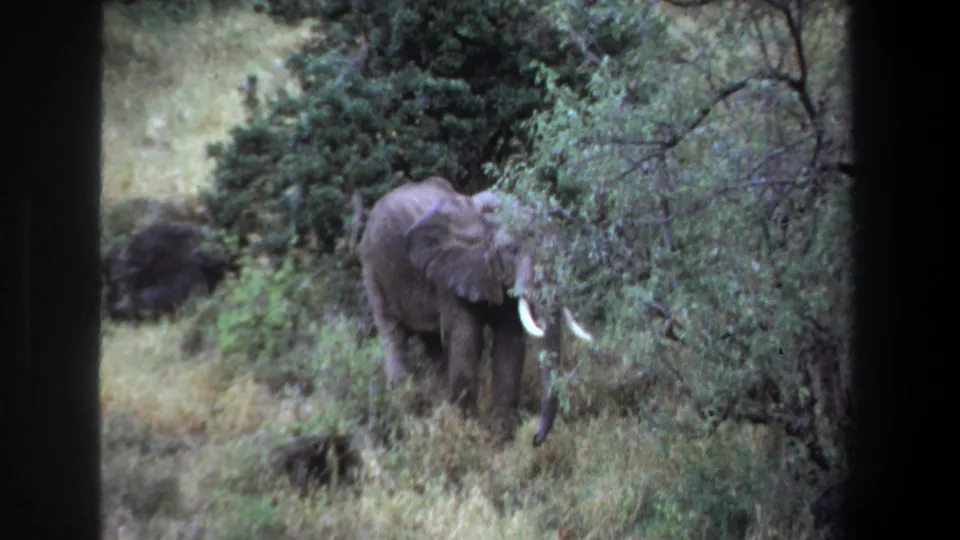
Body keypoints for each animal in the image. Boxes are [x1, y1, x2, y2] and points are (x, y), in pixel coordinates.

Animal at [358, 176, 594, 446]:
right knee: (393, 335)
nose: (535, 438)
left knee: (433, 345)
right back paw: (406, 414)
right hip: (373, 269)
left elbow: (509, 345)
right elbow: (466, 339)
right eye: (513, 250)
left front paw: (500, 440)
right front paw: (467, 433)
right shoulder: (450, 276)